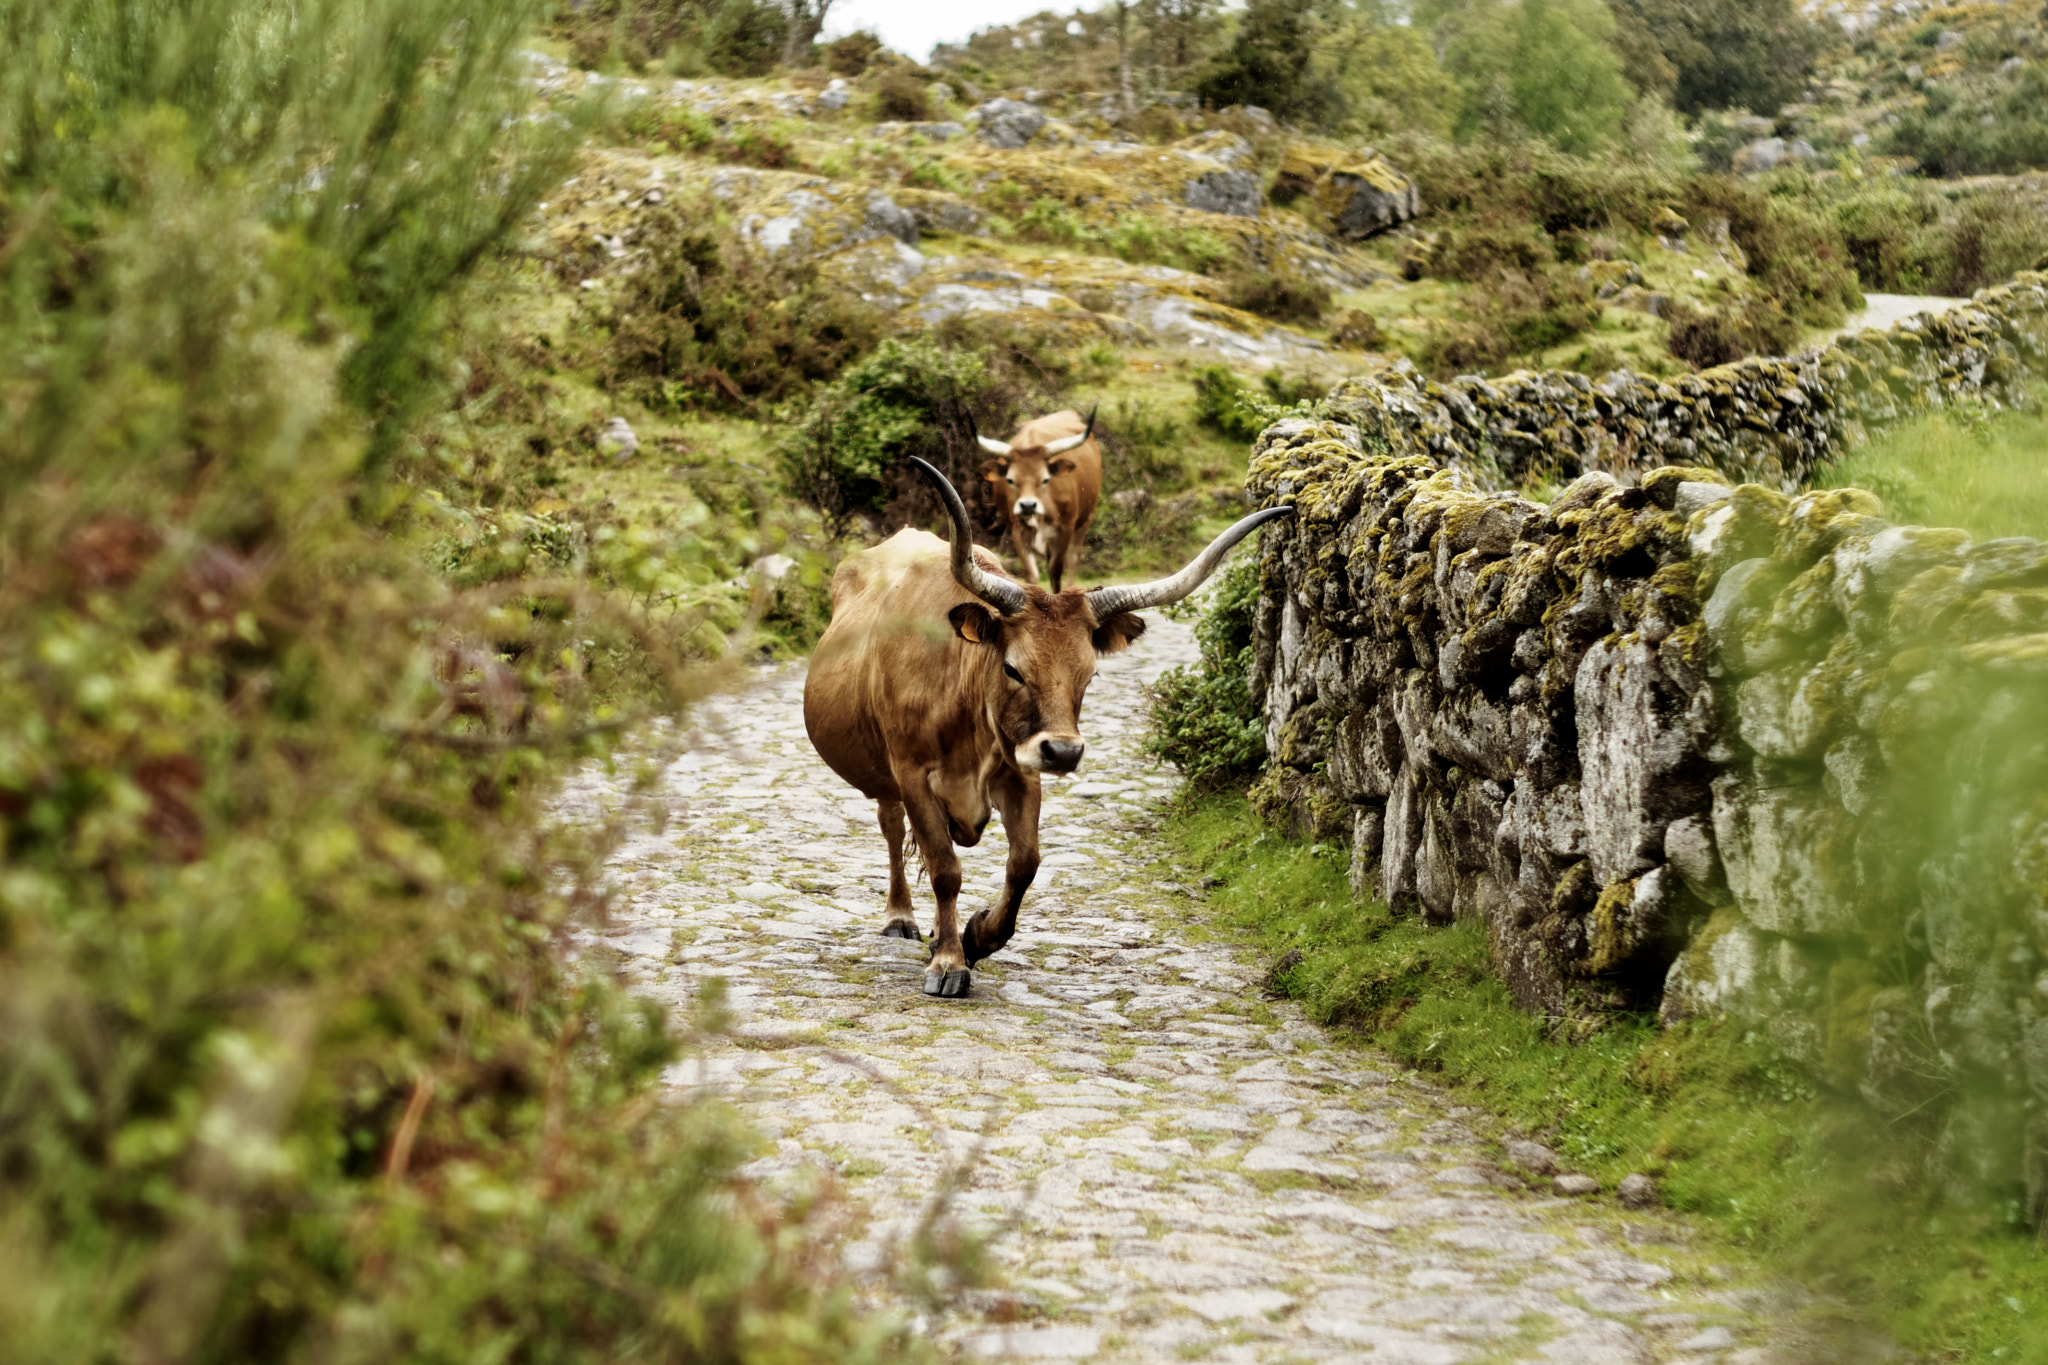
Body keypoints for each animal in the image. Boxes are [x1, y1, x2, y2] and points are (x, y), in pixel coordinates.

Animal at [794, 456, 1286, 994]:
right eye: (1013, 669)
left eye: (1089, 674)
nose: (1065, 752)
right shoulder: (913, 774)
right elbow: (945, 869)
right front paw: (948, 962)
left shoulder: (1022, 771)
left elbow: (1024, 864)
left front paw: (976, 936)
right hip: (884, 777)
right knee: (890, 825)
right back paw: (900, 917)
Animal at [978, 409, 1105, 593]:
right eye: (1010, 480)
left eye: (1045, 479)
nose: (1028, 505)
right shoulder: (1018, 529)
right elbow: (1031, 573)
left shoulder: (1065, 528)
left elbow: (1057, 568)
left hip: (1085, 519)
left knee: (1074, 557)